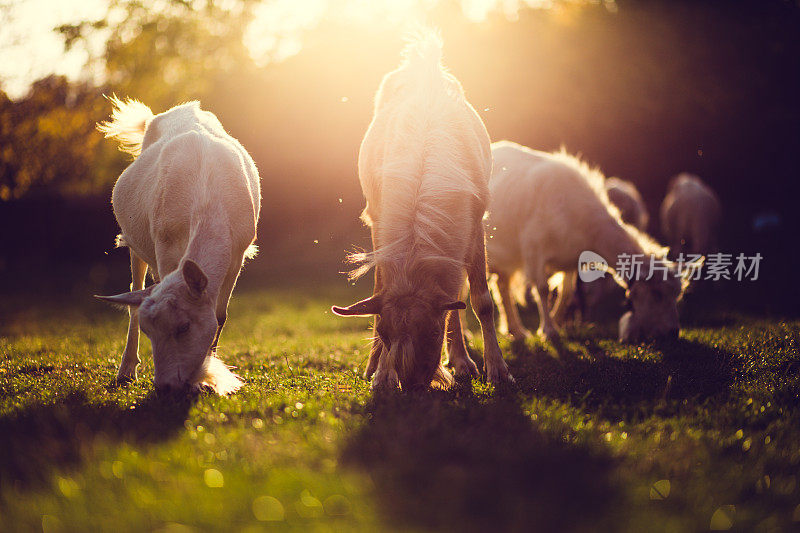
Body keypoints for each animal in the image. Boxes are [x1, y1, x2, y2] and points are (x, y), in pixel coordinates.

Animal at [94, 97, 260, 392]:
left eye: (184, 327)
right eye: (150, 332)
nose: (165, 386)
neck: (207, 197)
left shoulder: (237, 254)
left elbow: (220, 315)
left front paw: (207, 373)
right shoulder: (164, 248)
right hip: (134, 241)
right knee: (135, 290)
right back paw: (126, 371)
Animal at [332, 32, 512, 390]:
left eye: (431, 332)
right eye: (384, 333)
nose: (413, 386)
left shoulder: (473, 224)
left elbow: (480, 301)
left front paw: (496, 369)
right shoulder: (379, 221)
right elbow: (380, 289)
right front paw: (380, 373)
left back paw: (462, 361)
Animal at [484, 141, 696, 340]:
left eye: (677, 295)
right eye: (657, 294)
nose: (672, 333)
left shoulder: (570, 259)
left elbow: (566, 293)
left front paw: (558, 324)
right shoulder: (533, 248)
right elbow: (543, 289)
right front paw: (549, 330)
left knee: (502, 286)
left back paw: (516, 331)